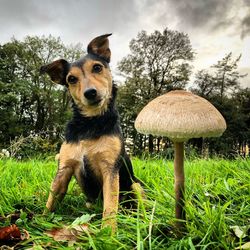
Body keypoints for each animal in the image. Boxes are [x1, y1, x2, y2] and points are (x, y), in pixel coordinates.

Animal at [40, 33, 144, 232]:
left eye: (97, 67)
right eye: (71, 79)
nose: (90, 93)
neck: (90, 122)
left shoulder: (110, 170)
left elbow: (110, 205)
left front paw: (109, 232)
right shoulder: (64, 168)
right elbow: (51, 198)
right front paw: (39, 221)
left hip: (136, 185)